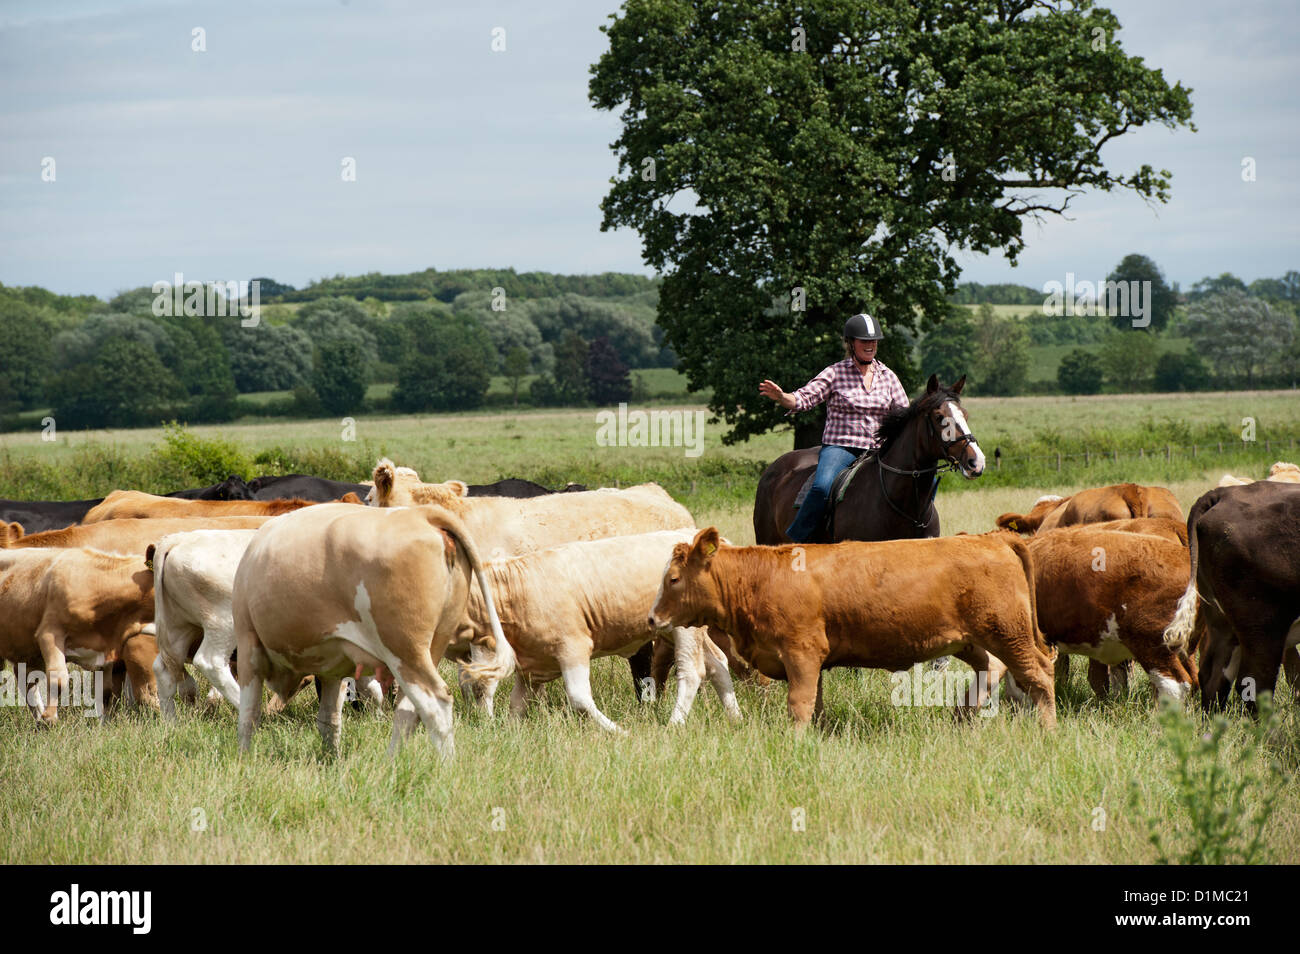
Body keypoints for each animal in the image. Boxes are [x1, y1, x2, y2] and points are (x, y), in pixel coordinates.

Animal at [0, 545, 156, 722]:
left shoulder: (105, 651)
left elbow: (106, 693)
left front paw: (103, 723)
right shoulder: (49, 633)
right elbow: (58, 678)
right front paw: (50, 719)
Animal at [233, 504, 512, 759]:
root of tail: (421, 513)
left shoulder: (248, 643)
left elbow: (248, 715)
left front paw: (243, 761)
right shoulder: (332, 667)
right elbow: (328, 720)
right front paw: (332, 761)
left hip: (404, 649)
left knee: (435, 703)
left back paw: (446, 765)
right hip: (432, 646)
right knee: (407, 709)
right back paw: (391, 763)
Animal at [460, 530, 743, 733]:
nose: (472, 679)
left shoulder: (572, 646)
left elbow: (579, 698)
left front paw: (621, 732)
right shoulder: (533, 666)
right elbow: (517, 704)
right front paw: (509, 733)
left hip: (684, 629)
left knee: (692, 671)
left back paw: (674, 724)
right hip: (672, 631)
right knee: (718, 664)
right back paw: (735, 717)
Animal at [650, 530, 1055, 733]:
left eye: (673, 579)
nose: (652, 619)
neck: (761, 578)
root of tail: (992, 537)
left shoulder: (802, 653)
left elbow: (799, 705)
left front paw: (794, 742)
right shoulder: (808, 663)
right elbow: (815, 704)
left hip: (1008, 632)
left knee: (1038, 674)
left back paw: (1047, 729)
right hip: (970, 640)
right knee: (992, 667)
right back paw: (962, 715)